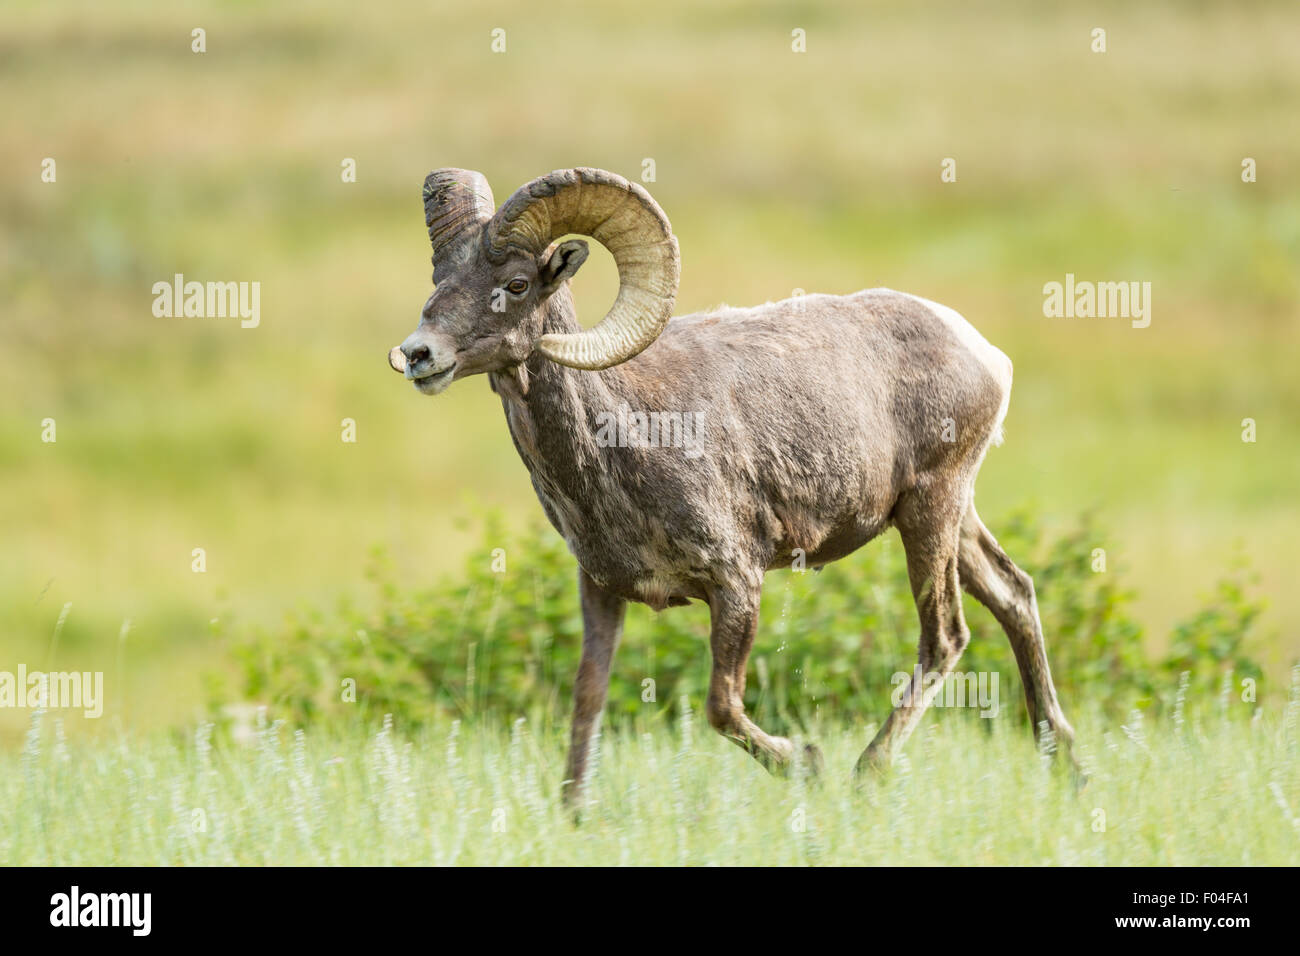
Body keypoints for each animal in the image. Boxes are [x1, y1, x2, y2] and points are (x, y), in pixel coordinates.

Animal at [389, 167, 1081, 805]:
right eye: (439, 278)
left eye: (516, 284)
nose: (417, 355)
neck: (624, 434)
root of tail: (987, 356)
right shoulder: (602, 591)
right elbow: (587, 700)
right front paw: (573, 815)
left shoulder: (736, 583)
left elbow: (721, 706)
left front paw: (807, 762)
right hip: (949, 518)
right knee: (1015, 595)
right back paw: (1065, 762)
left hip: (930, 514)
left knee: (946, 636)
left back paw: (867, 771)